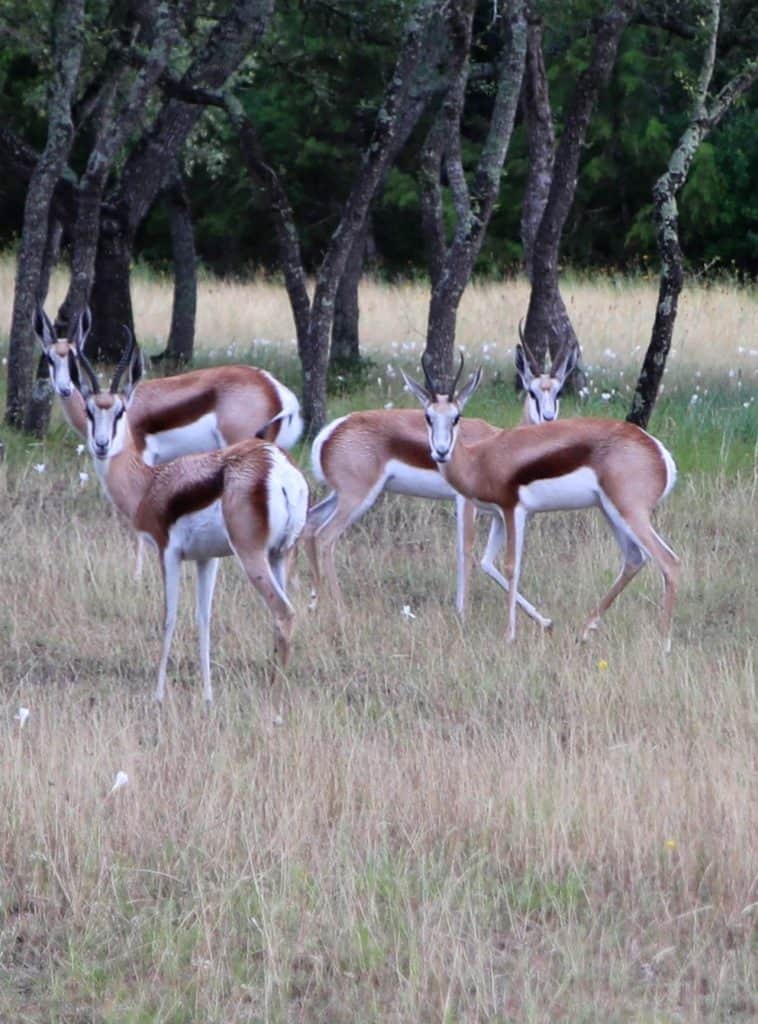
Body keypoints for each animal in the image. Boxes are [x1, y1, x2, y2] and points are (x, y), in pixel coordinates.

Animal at [72, 333, 307, 704]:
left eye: (121, 411)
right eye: (89, 410)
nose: (101, 445)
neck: (150, 484)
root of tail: (279, 468)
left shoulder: (167, 552)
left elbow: (169, 616)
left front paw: (157, 694)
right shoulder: (206, 559)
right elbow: (204, 618)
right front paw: (208, 695)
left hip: (252, 555)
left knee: (283, 613)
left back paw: (275, 692)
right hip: (280, 554)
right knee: (281, 613)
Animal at [301, 335, 573, 622]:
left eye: (558, 392)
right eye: (532, 391)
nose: (548, 420)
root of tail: (331, 432)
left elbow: (482, 558)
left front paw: (543, 619)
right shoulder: (466, 501)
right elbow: (466, 550)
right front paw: (463, 613)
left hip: (338, 495)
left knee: (309, 524)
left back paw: (313, 603)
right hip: (357, 497)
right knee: (325, 537)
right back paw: (340, 609)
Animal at [405, 356, 676, 647]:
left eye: (456, 417)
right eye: (428, 417)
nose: (441, 452)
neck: (479, 460)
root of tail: (658, 451)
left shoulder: (514, 511)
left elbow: (511, 566)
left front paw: (509, 635)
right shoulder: (499, 516)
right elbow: (487, 562)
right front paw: (544, 623)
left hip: (630, 513)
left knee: (668, 561)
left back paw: (664, 644)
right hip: (610, 511)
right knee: (634, 559)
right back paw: (584, 630)